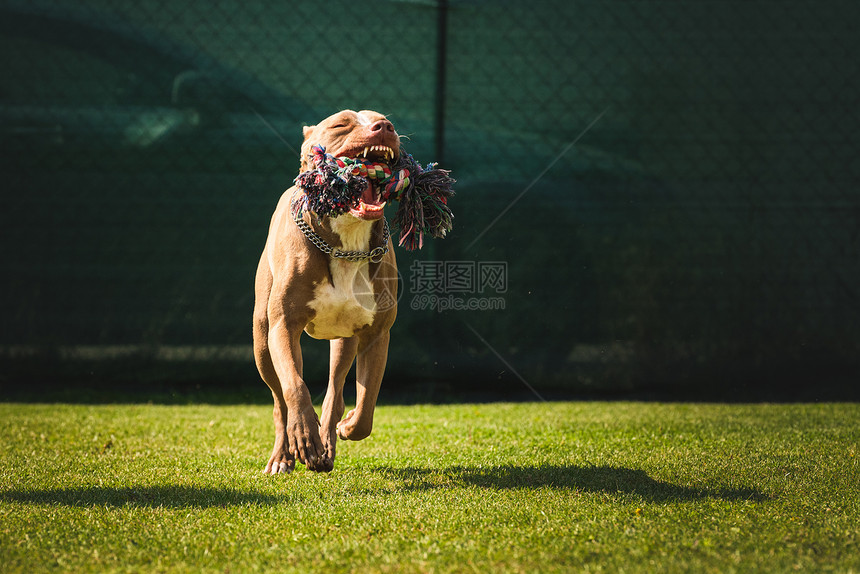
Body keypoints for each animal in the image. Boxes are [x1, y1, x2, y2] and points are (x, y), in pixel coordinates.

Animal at [252, 110, 400, 474]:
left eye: (383, 119)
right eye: (341, 125)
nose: (384, 128)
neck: (346, 241)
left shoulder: (377, 334)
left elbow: (366, 404)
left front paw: (346, 427)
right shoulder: (283, 326)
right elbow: (295, 386)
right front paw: (304, 436)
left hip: (344, 340)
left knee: (335, 390)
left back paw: (328, 442)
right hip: (262, 341)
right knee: (279, 399)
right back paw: (283, 456)